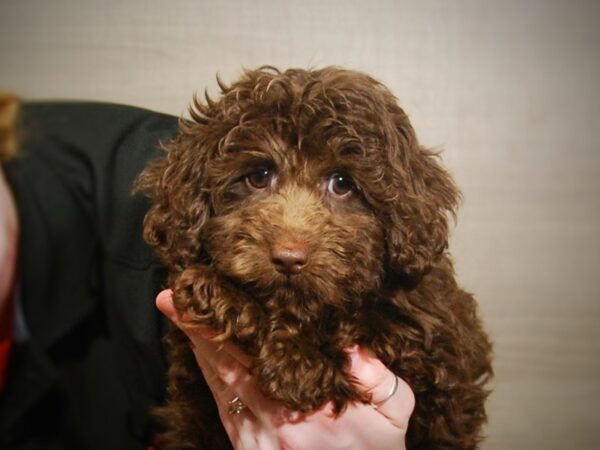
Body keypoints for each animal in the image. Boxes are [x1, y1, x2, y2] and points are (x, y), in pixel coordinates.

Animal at [138, 67, 494, 450]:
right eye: (258, 176)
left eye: (342, 183)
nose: (289, 258)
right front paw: (219, 294)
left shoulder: (430, 349)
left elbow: (359, 322)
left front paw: (297, 363)